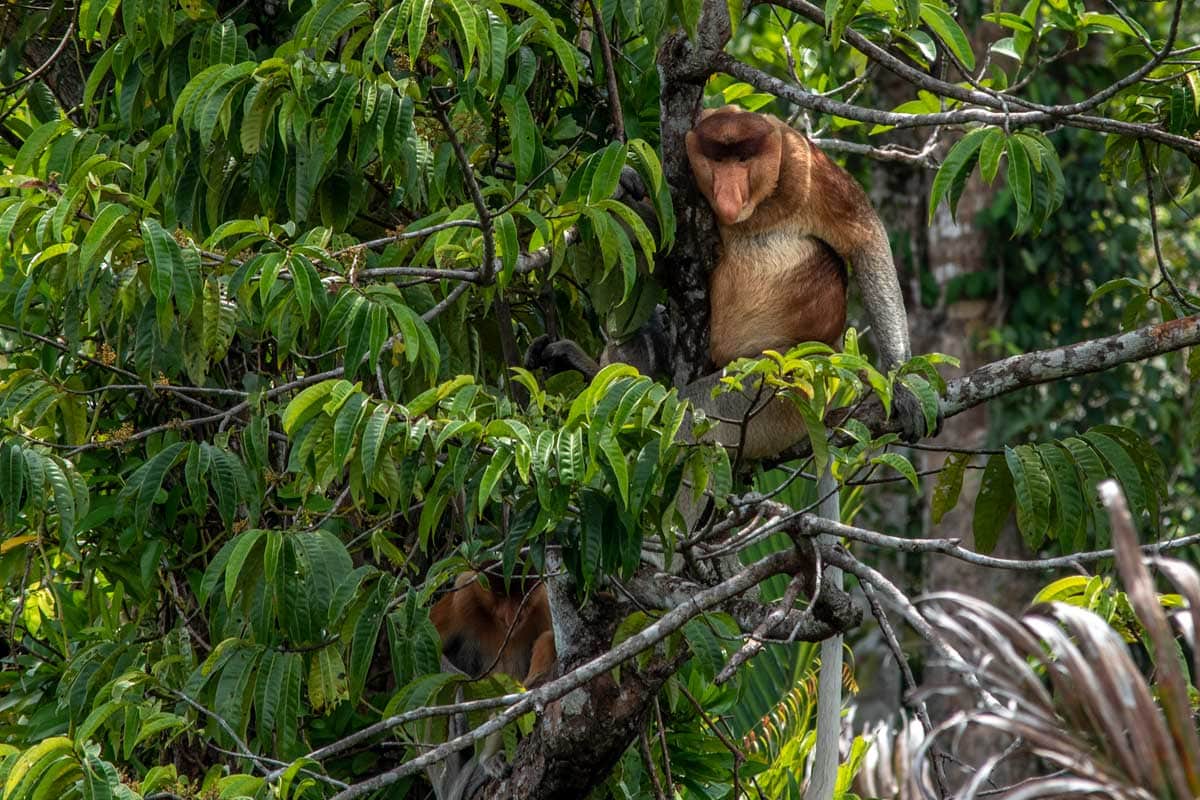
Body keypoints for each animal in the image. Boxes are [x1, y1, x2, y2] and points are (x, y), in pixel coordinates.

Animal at [530, 106, 931, 455]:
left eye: (742, 160)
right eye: (718, 161)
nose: (727, 193)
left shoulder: (806, 168)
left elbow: (866, 239)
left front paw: (904, 389)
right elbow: (661, 247)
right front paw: (625, 182)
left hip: (781, 384)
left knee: (691, 413)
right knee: (641, 323)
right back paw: (582, 366)